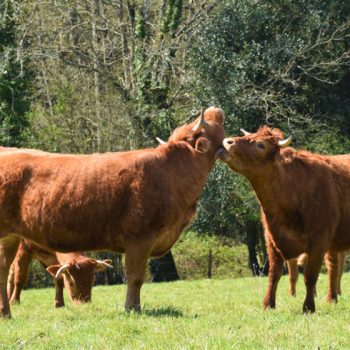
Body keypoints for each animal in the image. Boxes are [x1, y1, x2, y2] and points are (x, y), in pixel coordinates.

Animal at [0, 106, 226, 318]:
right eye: (215, 129)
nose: (215, 109)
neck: (172, 172)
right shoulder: (139, 238)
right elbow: (135, 277)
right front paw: (132, 308)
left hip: (10, 237)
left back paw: (6, 313)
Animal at [217, 127, 350, 314]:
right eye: (248, 135)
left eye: (261, 145)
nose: (227, 141)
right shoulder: (271, 240)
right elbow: (274, 275)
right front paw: (268, 304)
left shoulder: (320, 241)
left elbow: (310, 276)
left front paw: (308, 307)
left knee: (333, 268)